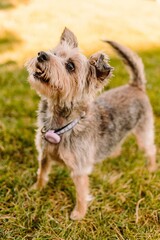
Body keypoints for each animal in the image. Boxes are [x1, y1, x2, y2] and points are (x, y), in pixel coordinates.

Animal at [26, 27, 156, 219]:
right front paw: (37, 188)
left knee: (150, 149)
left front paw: (78, 214)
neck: (60, 126)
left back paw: (152, 168)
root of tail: (135, 85)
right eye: (54, 53)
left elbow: (81, 192)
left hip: (144, 131)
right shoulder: (44, 154)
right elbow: (42, 172)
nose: (42, 55)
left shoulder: (79, 169)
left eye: (70, 66)